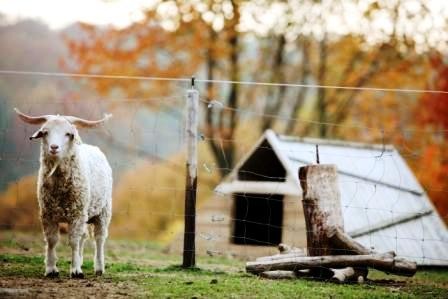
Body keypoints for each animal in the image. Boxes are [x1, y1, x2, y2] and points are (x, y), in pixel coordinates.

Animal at [15, 109, 114, 278]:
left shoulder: (76, 214)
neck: (60, 188)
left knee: (99, 238)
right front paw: (51, 269)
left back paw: (99, 268)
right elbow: (52, 240)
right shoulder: (47, 214)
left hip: (103, 211)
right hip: (84, 215)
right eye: (45, 132)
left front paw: (75, 271)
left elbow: (73, 241)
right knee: (83, 237)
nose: (54, 147)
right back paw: (81, 261)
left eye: (68, 134)